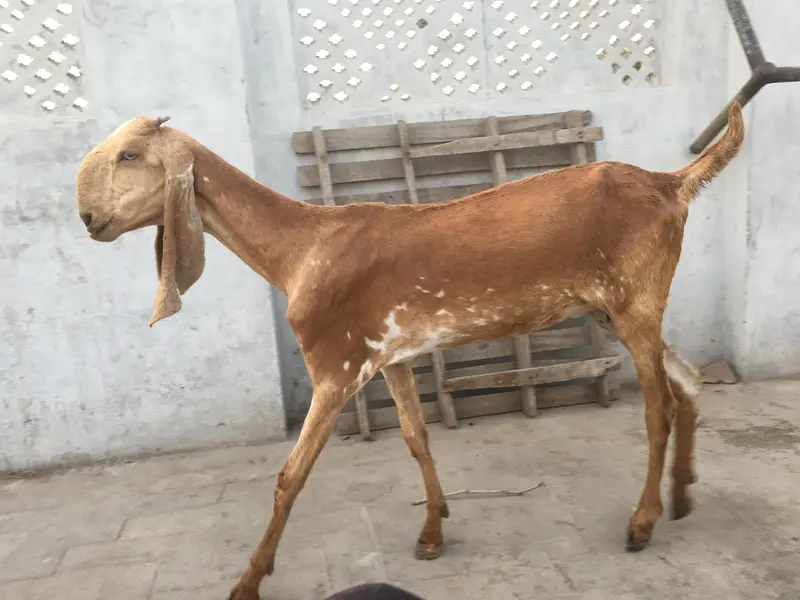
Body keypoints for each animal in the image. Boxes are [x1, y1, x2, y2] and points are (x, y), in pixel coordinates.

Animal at [75, 102, 745, 600]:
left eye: (129, 155)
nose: (86, 218)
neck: (299, 249)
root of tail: (670, 184)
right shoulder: (390, 357)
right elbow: (416, 436)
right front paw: (432, 531)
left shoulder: (335, 368)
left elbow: (291, 476)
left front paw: (248, 580)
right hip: (615, 309)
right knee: (688, 380)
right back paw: (682, 495)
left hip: (635, 302)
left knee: (658, 406)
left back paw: (643, 521)